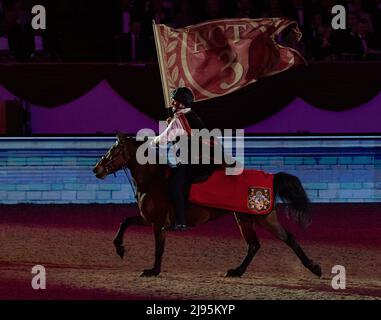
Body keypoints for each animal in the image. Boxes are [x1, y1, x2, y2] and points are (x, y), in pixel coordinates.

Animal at [93, 132, 320, 278]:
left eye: (114, 150)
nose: (96, 169)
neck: (153, 180)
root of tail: (271, 177)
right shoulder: (146, 219)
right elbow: (124, 222)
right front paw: (120, 249)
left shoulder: (157, 223)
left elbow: (158, 248)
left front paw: (152, 271)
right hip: (244, 219)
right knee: (254, 245)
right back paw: (236, 271)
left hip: (264, 218)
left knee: (288, 238)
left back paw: (315, 268)